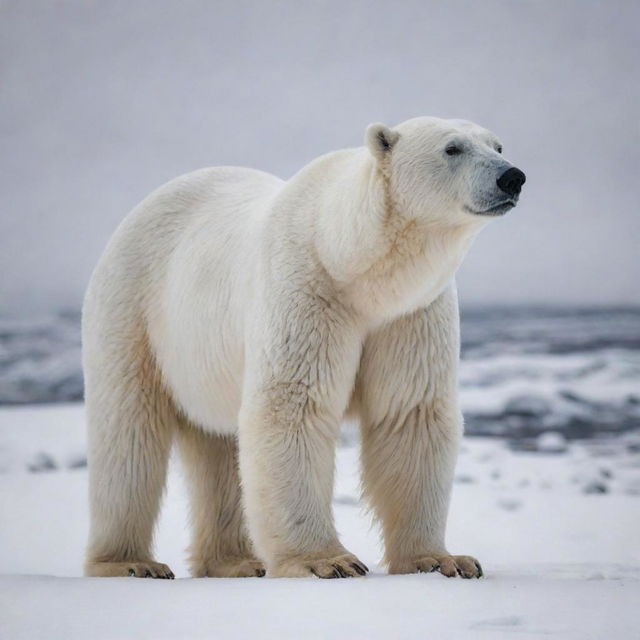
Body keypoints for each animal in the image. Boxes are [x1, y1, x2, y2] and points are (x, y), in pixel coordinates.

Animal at [82, 116, 524, 580]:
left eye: (497, 145)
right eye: (452, 148)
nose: (512, 176)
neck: (352, 264)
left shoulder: (409, 314)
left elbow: (410, 413)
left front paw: (443, 560)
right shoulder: (306, 288)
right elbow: (294, 404)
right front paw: (327, 562)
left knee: (219, 445)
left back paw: (236, 562)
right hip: (134, 309)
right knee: (128, 435)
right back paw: (131, 563)